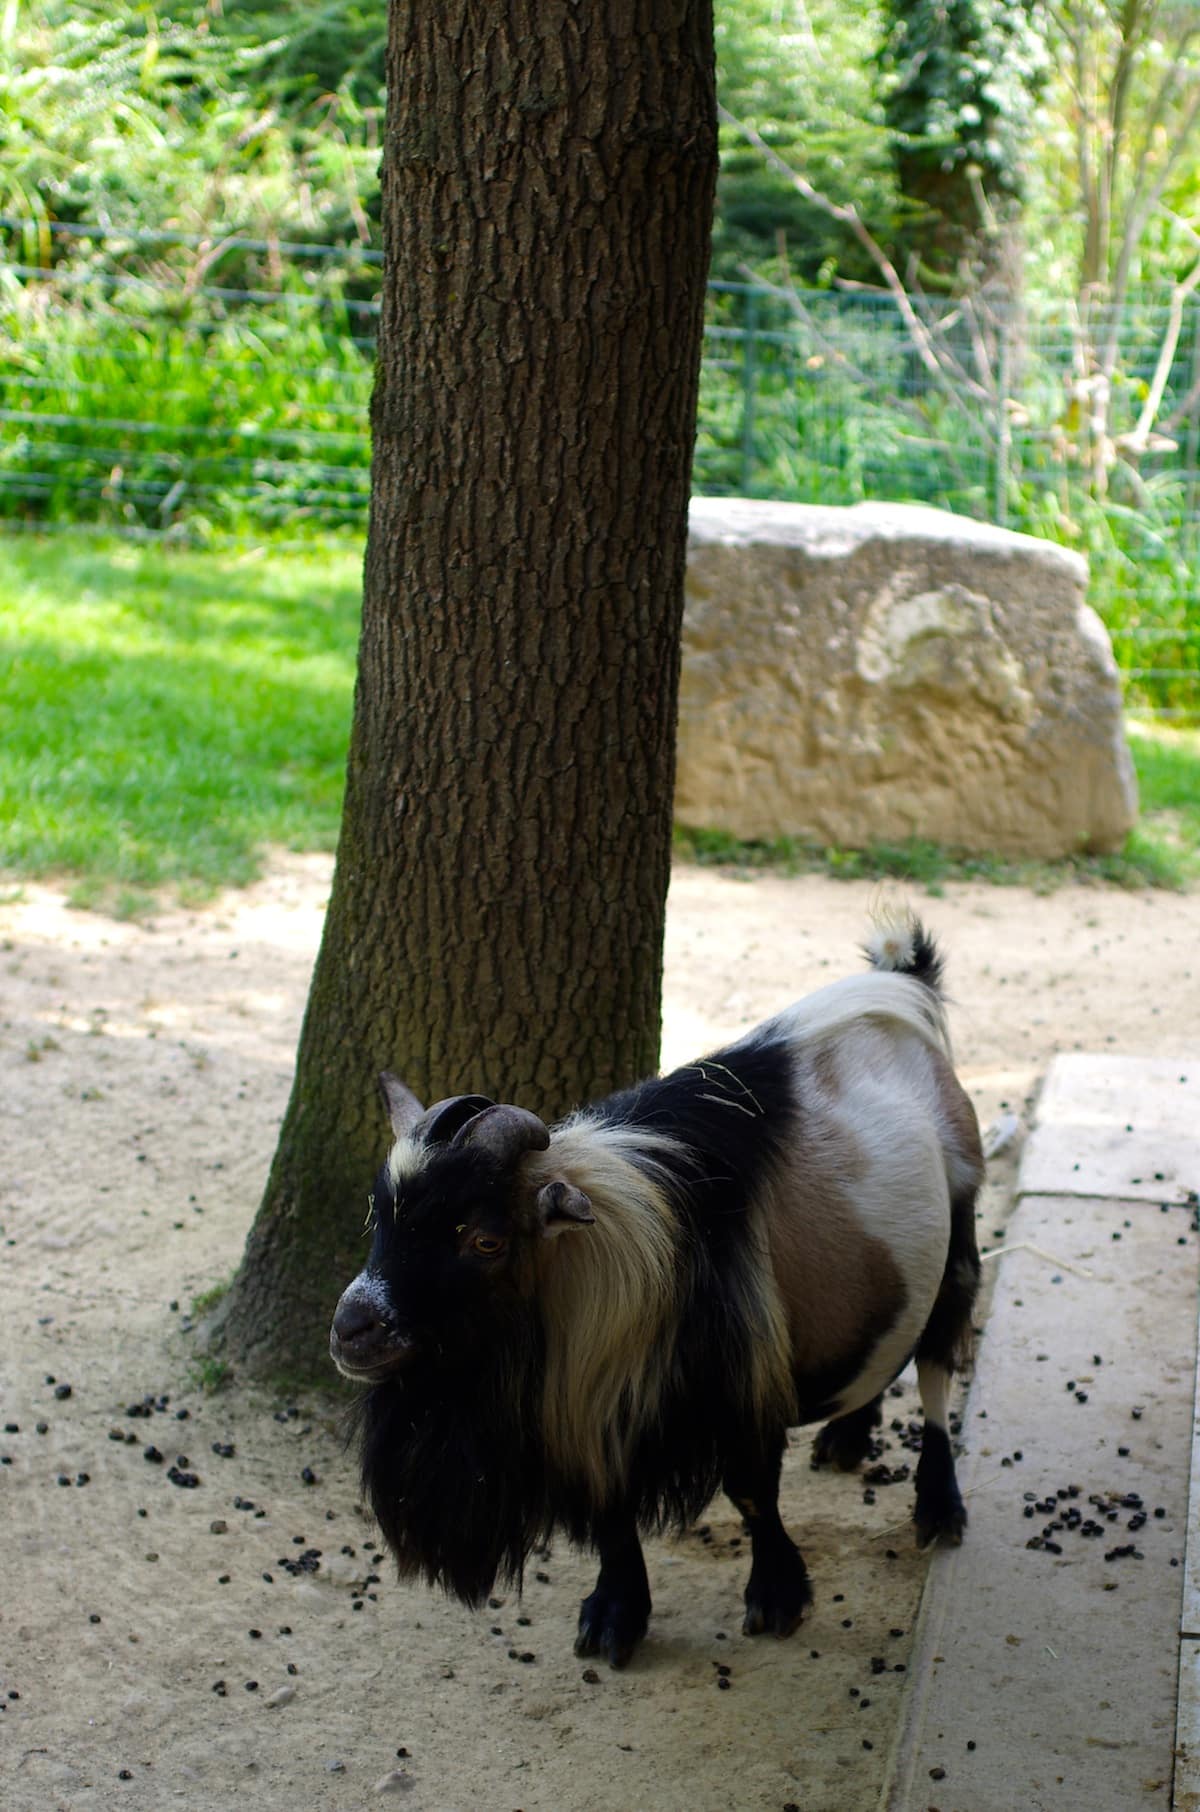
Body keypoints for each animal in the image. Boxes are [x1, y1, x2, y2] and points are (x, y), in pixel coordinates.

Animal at [331, 920, 986, 1667]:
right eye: (379, 1215)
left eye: (485, 1241)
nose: (352, 1330)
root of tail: (904, 988)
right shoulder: (591, 1401)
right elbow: (611, 1517)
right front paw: (614, 1616)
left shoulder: (740, 1379)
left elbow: (752, 1491)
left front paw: (777, 1597)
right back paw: (847, 1436)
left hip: (960, 1236)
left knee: (936, 1365)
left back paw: (940, 1508)